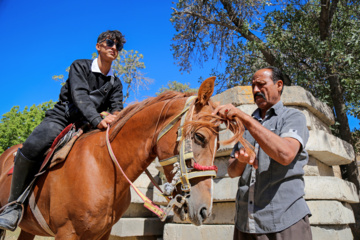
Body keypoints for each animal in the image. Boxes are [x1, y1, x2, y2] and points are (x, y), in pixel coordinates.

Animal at [0, 77, 243, 240]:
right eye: (200, 137)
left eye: (218, 145)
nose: (205, 210)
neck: (103, 168)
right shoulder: (66, 233)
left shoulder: (102, 233)